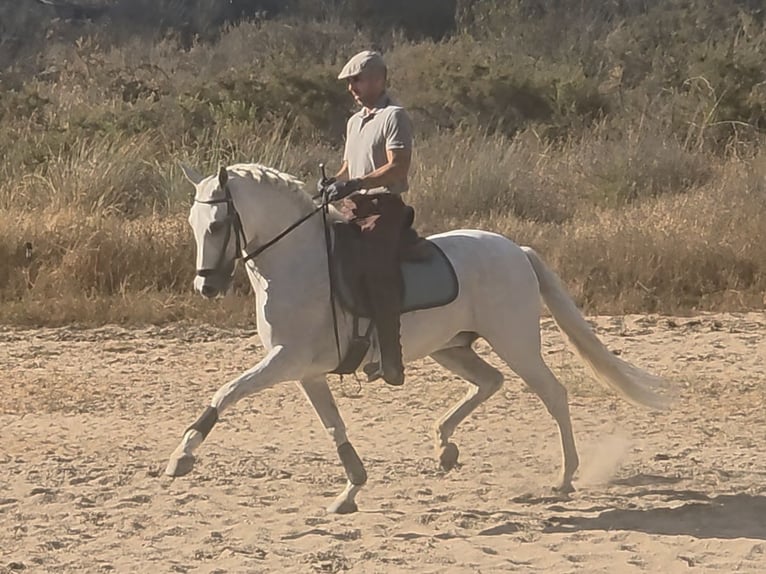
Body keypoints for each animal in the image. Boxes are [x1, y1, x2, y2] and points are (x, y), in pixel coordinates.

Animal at [165, 162, 670, 514]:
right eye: (191, 225)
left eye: (216, 226)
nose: (206, 287)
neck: (298, 263)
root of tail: (516, 250)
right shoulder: (305, 371)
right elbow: (334, 427)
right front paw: (351, 489)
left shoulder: (285, 361)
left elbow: (226, 392)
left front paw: (181, 456)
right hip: (452, 347)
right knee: (489, 382)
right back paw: (445, 446)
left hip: (515, 342)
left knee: (553, 394)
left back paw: (565, 477)